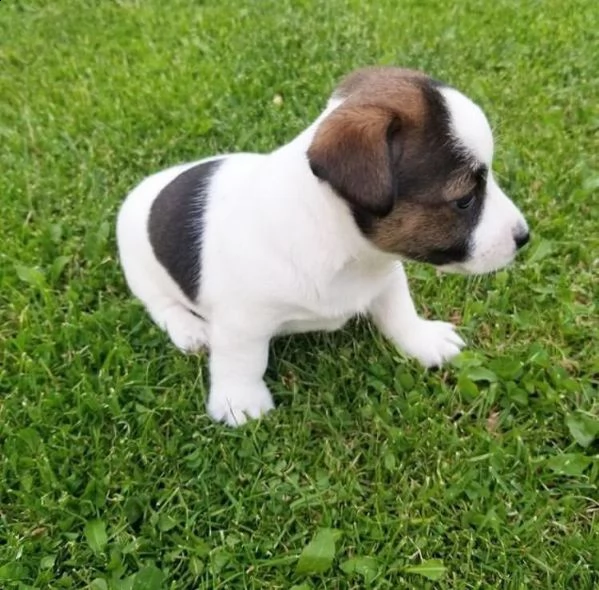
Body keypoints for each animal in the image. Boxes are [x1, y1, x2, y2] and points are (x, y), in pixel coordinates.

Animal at [116, 67, 528, 428]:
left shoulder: (386, 275)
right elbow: (241, 361)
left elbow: (399, 312)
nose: (524, 237)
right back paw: (189, 330)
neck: (345, 248)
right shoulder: (241, 322)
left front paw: (421, 339)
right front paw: (239, 401)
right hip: (142, 271)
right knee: (161, 305)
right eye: (464, 200)